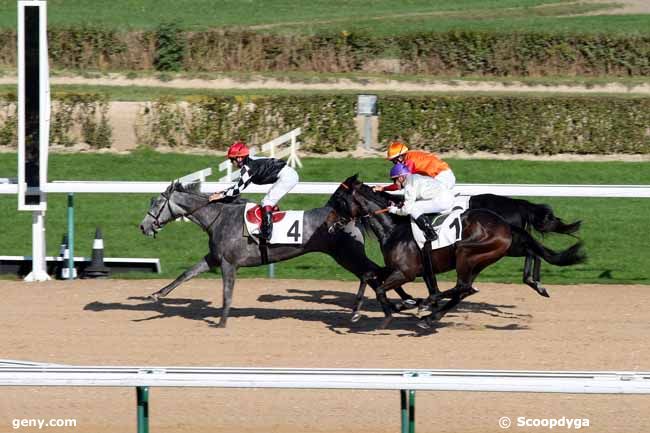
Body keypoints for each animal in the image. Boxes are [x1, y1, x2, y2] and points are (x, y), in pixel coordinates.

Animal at [139, 181, 408, 328]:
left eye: (157, 204)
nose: (143, 226)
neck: (219, 217)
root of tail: (347, 215)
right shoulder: (214, 258)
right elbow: (186, 274)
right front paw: (156, 294)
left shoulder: (228, 264)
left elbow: (227, 293)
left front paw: (222, 321)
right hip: (345, 256)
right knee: (374, 274)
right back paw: (394, 306)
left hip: (346, 255)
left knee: (373, 273)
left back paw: (392, 305)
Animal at [326, 176, 584, 328]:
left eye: (337, 198)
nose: (327, 221)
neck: (394, 227)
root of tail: (508, 214)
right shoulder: (398, 268)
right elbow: (368, 276)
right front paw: (358, 311)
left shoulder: (407, 271)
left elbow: (382, 286)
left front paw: (400, 308)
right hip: (492, 254)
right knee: (467, 287)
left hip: (467, 251)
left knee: (464, 287)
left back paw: (429, 306)